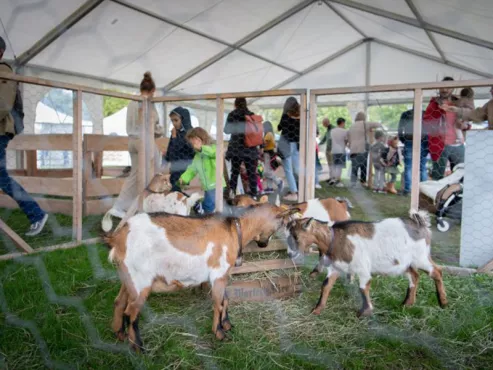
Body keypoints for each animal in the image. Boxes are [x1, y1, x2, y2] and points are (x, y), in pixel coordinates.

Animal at [104, 204, 296, 352]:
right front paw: (219, 333)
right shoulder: (218, 274)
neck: (235, 229)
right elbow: (218, 304)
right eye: (281, 224)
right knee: (131, 312)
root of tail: (117, 237)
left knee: (119, 302)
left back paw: (120, 334)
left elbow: (225, 300)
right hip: (141, 280)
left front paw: (227, 325)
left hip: (129, 277)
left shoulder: (222, 275)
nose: (264, 244)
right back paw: (139, 348)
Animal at [286, 211, 448, 318]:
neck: (336, 238)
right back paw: (407, 303)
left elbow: (363, 287)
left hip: (421, 257)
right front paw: (317, 310)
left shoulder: (362, 268)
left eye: (296, 236)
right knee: (414, 276)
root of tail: (420, 223)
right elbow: (326, 286)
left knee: (436, 271)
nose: (290, 254)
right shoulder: (336, 268)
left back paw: (443, 302)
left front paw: (365, 311)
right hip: (405, 263)